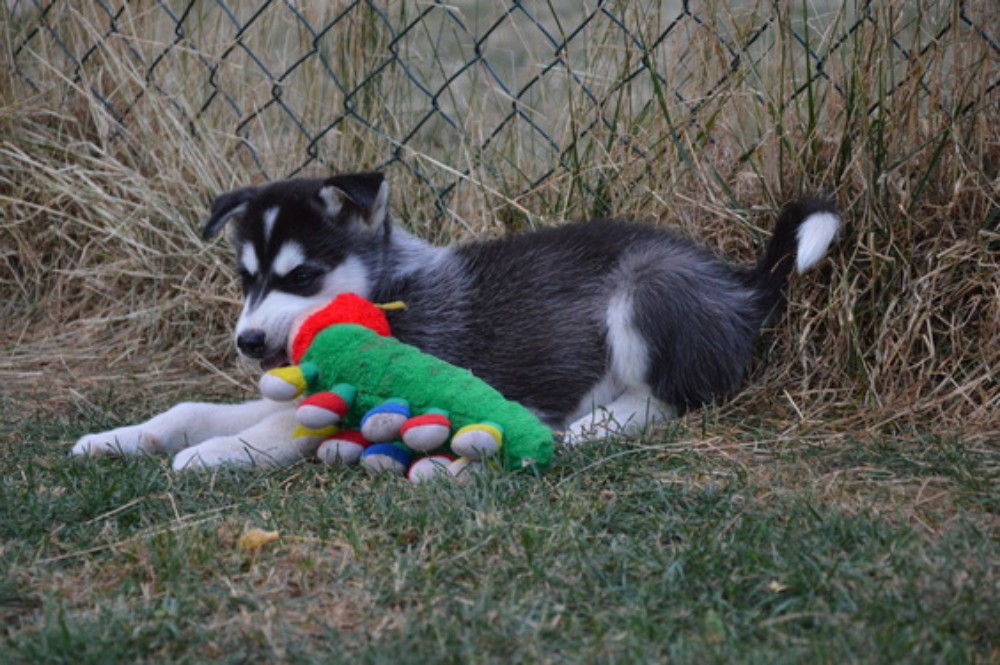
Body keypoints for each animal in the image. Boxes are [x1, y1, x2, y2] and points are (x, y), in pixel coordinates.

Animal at [73, 172, 839, 470]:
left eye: (301, 278)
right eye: (246, 279)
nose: (249, 341)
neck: (387, 288)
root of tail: (734, 281)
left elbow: (273, 428)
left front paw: (211, 455)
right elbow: (195, 408)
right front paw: (123, 438)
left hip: (645, 289)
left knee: (674, 400)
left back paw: (587, 428)